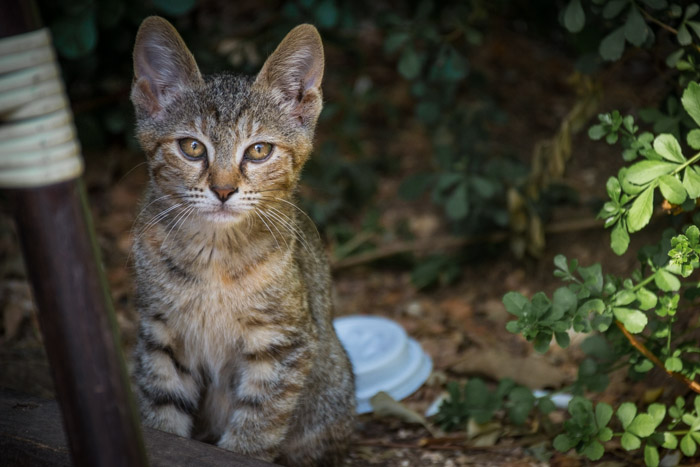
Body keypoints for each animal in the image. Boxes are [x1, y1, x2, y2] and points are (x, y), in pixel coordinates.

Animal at [129, 15, 356, 467]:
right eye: (192, 147)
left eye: (259, 151)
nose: (223, 190)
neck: (214, 252)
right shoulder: (160, 333)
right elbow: (162, 414)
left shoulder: (283, 343)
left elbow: (256, 425)